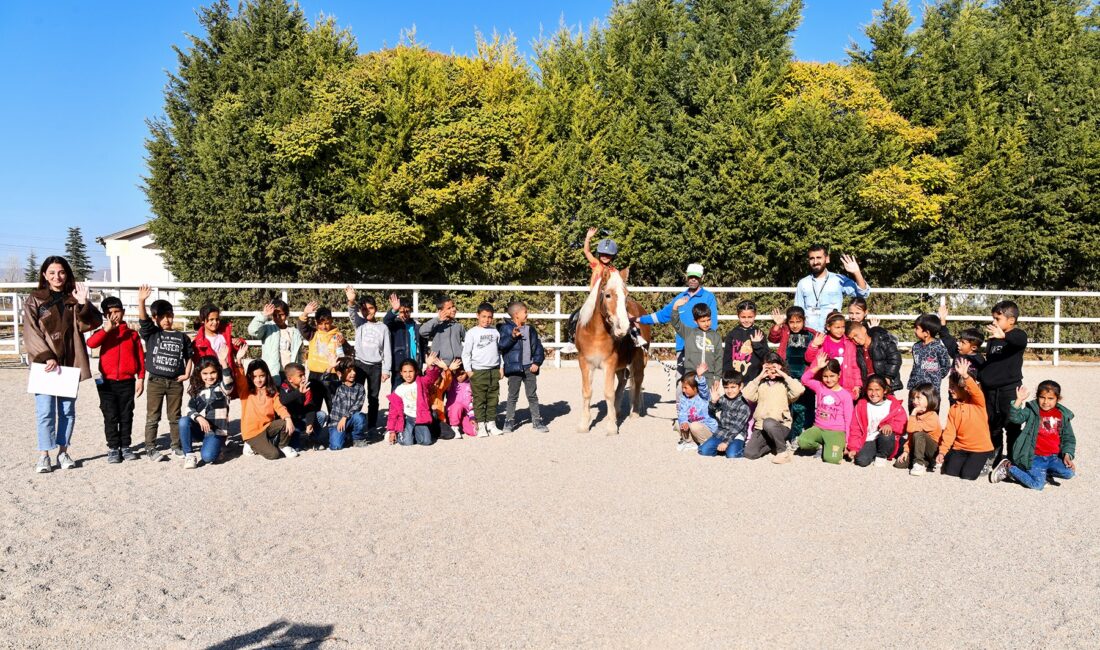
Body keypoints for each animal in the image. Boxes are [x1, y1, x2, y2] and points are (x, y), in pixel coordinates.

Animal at [572, 267, 646, 435]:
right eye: (607, 295)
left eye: (626, 294)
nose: (623, 327)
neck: (596, 334)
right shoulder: (585, 363)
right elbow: (587, 392)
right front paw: (584, 424)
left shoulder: (610, 363)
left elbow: (608, 393)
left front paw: (612, 427)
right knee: (623, 381)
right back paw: (617, 410)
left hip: (639, 360)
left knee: (638, 381)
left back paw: (634, 412)